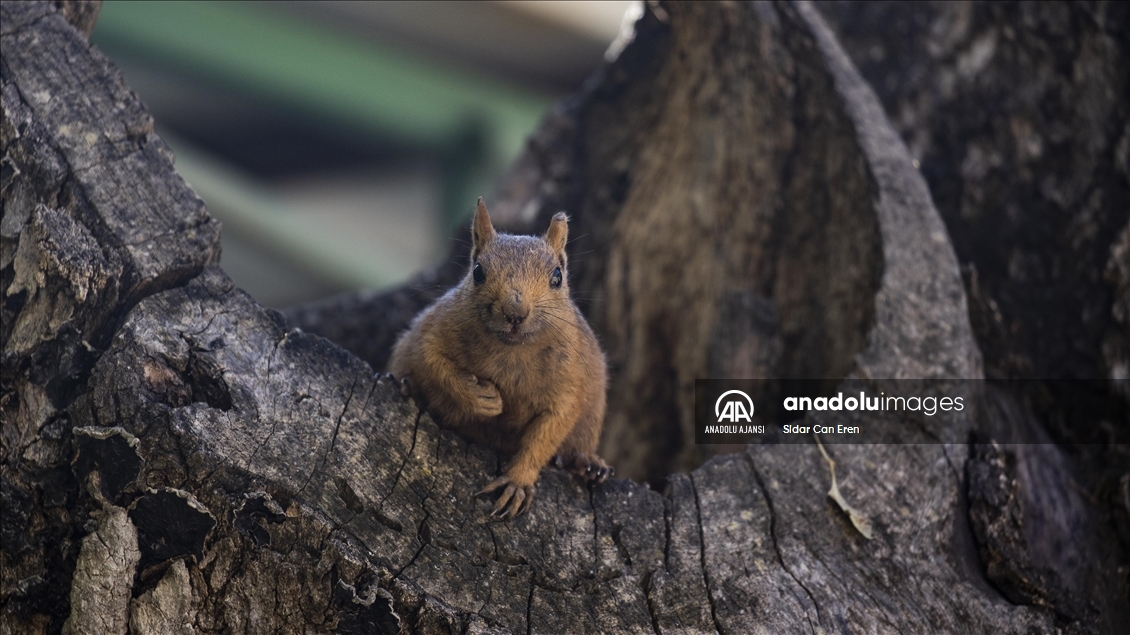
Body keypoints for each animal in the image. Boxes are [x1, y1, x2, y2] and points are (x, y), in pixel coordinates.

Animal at [390, 198, 619, 519]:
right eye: (477, 272)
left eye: (557, 276)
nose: (515, 312)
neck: (512, 350)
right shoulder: (433, 332)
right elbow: (434, 363)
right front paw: (481, 398)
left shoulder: (571, 378)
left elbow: (550, 429)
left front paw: (517, 481)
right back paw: (406, 387)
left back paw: (587, 465)